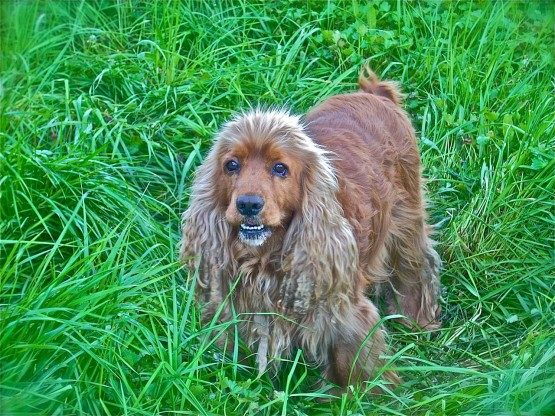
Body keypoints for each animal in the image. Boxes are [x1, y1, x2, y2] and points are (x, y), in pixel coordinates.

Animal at [181, 67, 444, 390]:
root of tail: (374, 94)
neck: (266, 257)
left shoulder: (343, 312)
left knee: (416, 266)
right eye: (231, 165)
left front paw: (356, 395)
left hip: (406, 216)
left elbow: (350, 364)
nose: (248, 204)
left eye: (280, 168)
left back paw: (417, 320)